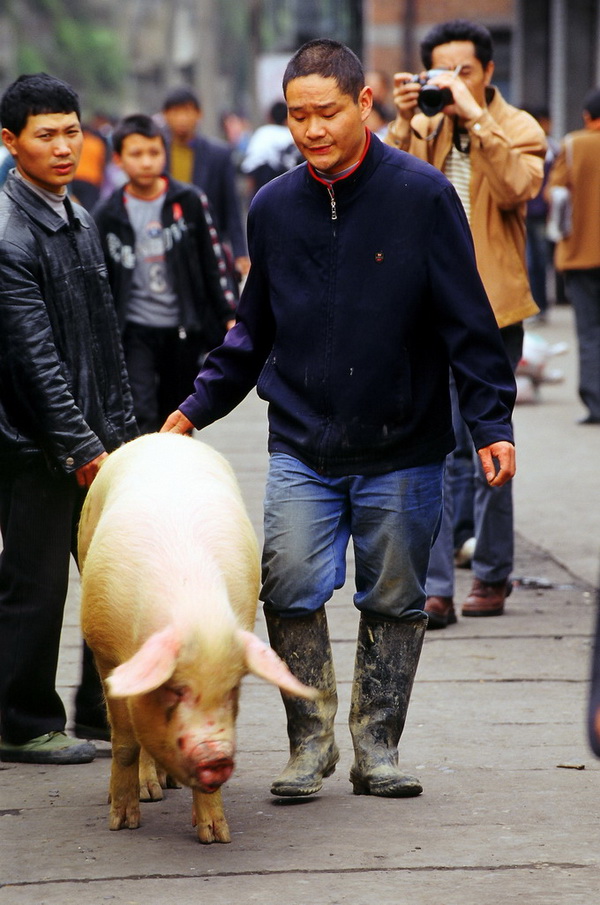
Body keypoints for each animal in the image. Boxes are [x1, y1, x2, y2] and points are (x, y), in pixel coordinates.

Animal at [78, 430, 318, 840]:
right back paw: (150, 793)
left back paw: (166, 787)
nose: (217, 756)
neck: (193, 603)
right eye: (176, 689)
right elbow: (125, 742)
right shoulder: (105, 651)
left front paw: (216, 835)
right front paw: (121, 823)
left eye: (233, 690)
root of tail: (161, 436)